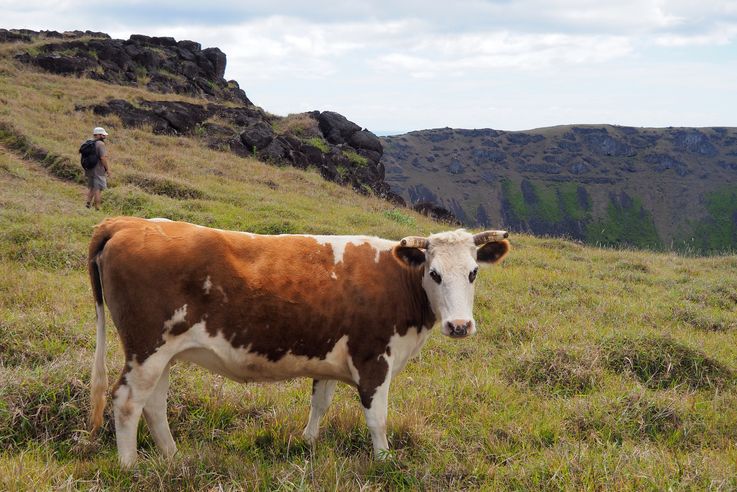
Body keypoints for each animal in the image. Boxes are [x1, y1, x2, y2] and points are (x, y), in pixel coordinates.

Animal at [87, 217, 506, 468]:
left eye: (473, 272)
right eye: (434, 273)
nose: (459, 325)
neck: (398, 279)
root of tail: (129, 222)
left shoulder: (330, 358)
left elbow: (320, 403)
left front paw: (308, 443)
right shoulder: (374, 360)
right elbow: (378, 418)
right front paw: (384, 461)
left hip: (163, 354)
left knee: (154, 404)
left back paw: (174, 458)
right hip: (147, 348)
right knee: (127, 402)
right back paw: (130, 467)